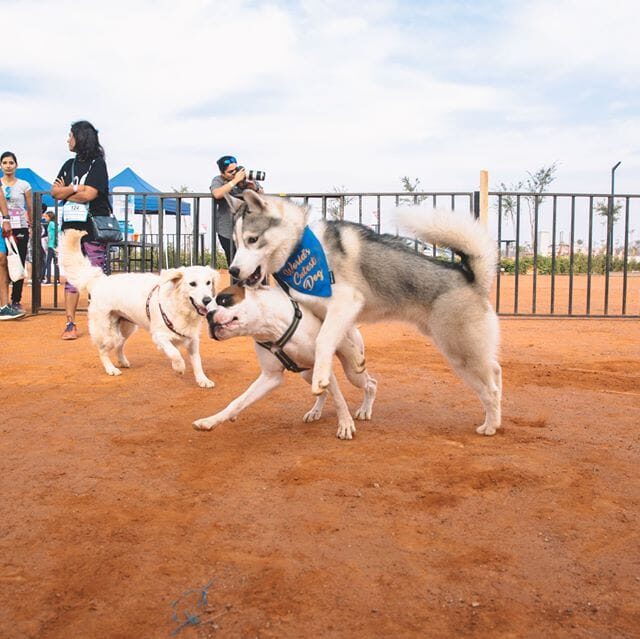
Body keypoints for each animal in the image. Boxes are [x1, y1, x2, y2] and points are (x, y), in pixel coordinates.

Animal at [192, 286, 378, 440]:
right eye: (205, 310)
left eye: (224, 299)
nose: (208, 316)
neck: (269, 328)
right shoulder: (270, 377)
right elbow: (238, 402)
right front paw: (210, 421)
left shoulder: (325, 371)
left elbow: (339, 400)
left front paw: (345, 425)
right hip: (308, 373)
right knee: (323, 392)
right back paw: (315, 412)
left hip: (352, 373)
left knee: (371, 383)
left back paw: (365, 409)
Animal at [228, 192, 502, 438]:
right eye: (236, 242)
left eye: (252, 239)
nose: (233, 270)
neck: (299, 249)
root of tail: (471, 278)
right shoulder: (331, 313)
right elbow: (342, 341)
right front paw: (356, 358)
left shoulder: (346, 302)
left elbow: (324, 340)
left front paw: (321, 378)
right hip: (469, 352)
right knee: (496, 370)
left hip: (461, 355)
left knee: (490, 391)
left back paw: (490, 425)